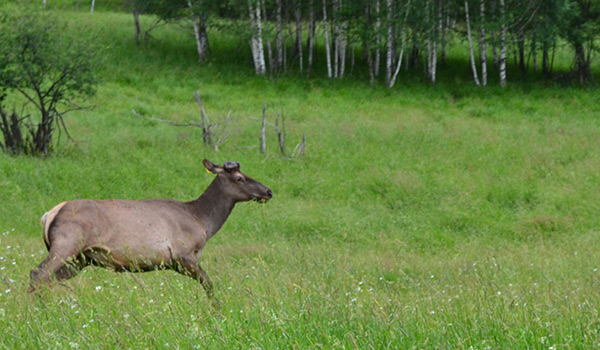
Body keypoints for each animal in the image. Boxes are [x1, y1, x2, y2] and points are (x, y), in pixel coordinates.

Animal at [28, 160, 272, 296]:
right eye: (240, 178)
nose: (268, 191)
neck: (203, 222)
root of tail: (48, 215)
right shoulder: (182, 254)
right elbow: (209, 285)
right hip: (67, 243)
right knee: (38, 273)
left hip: (80, 259)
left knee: (48, 279)